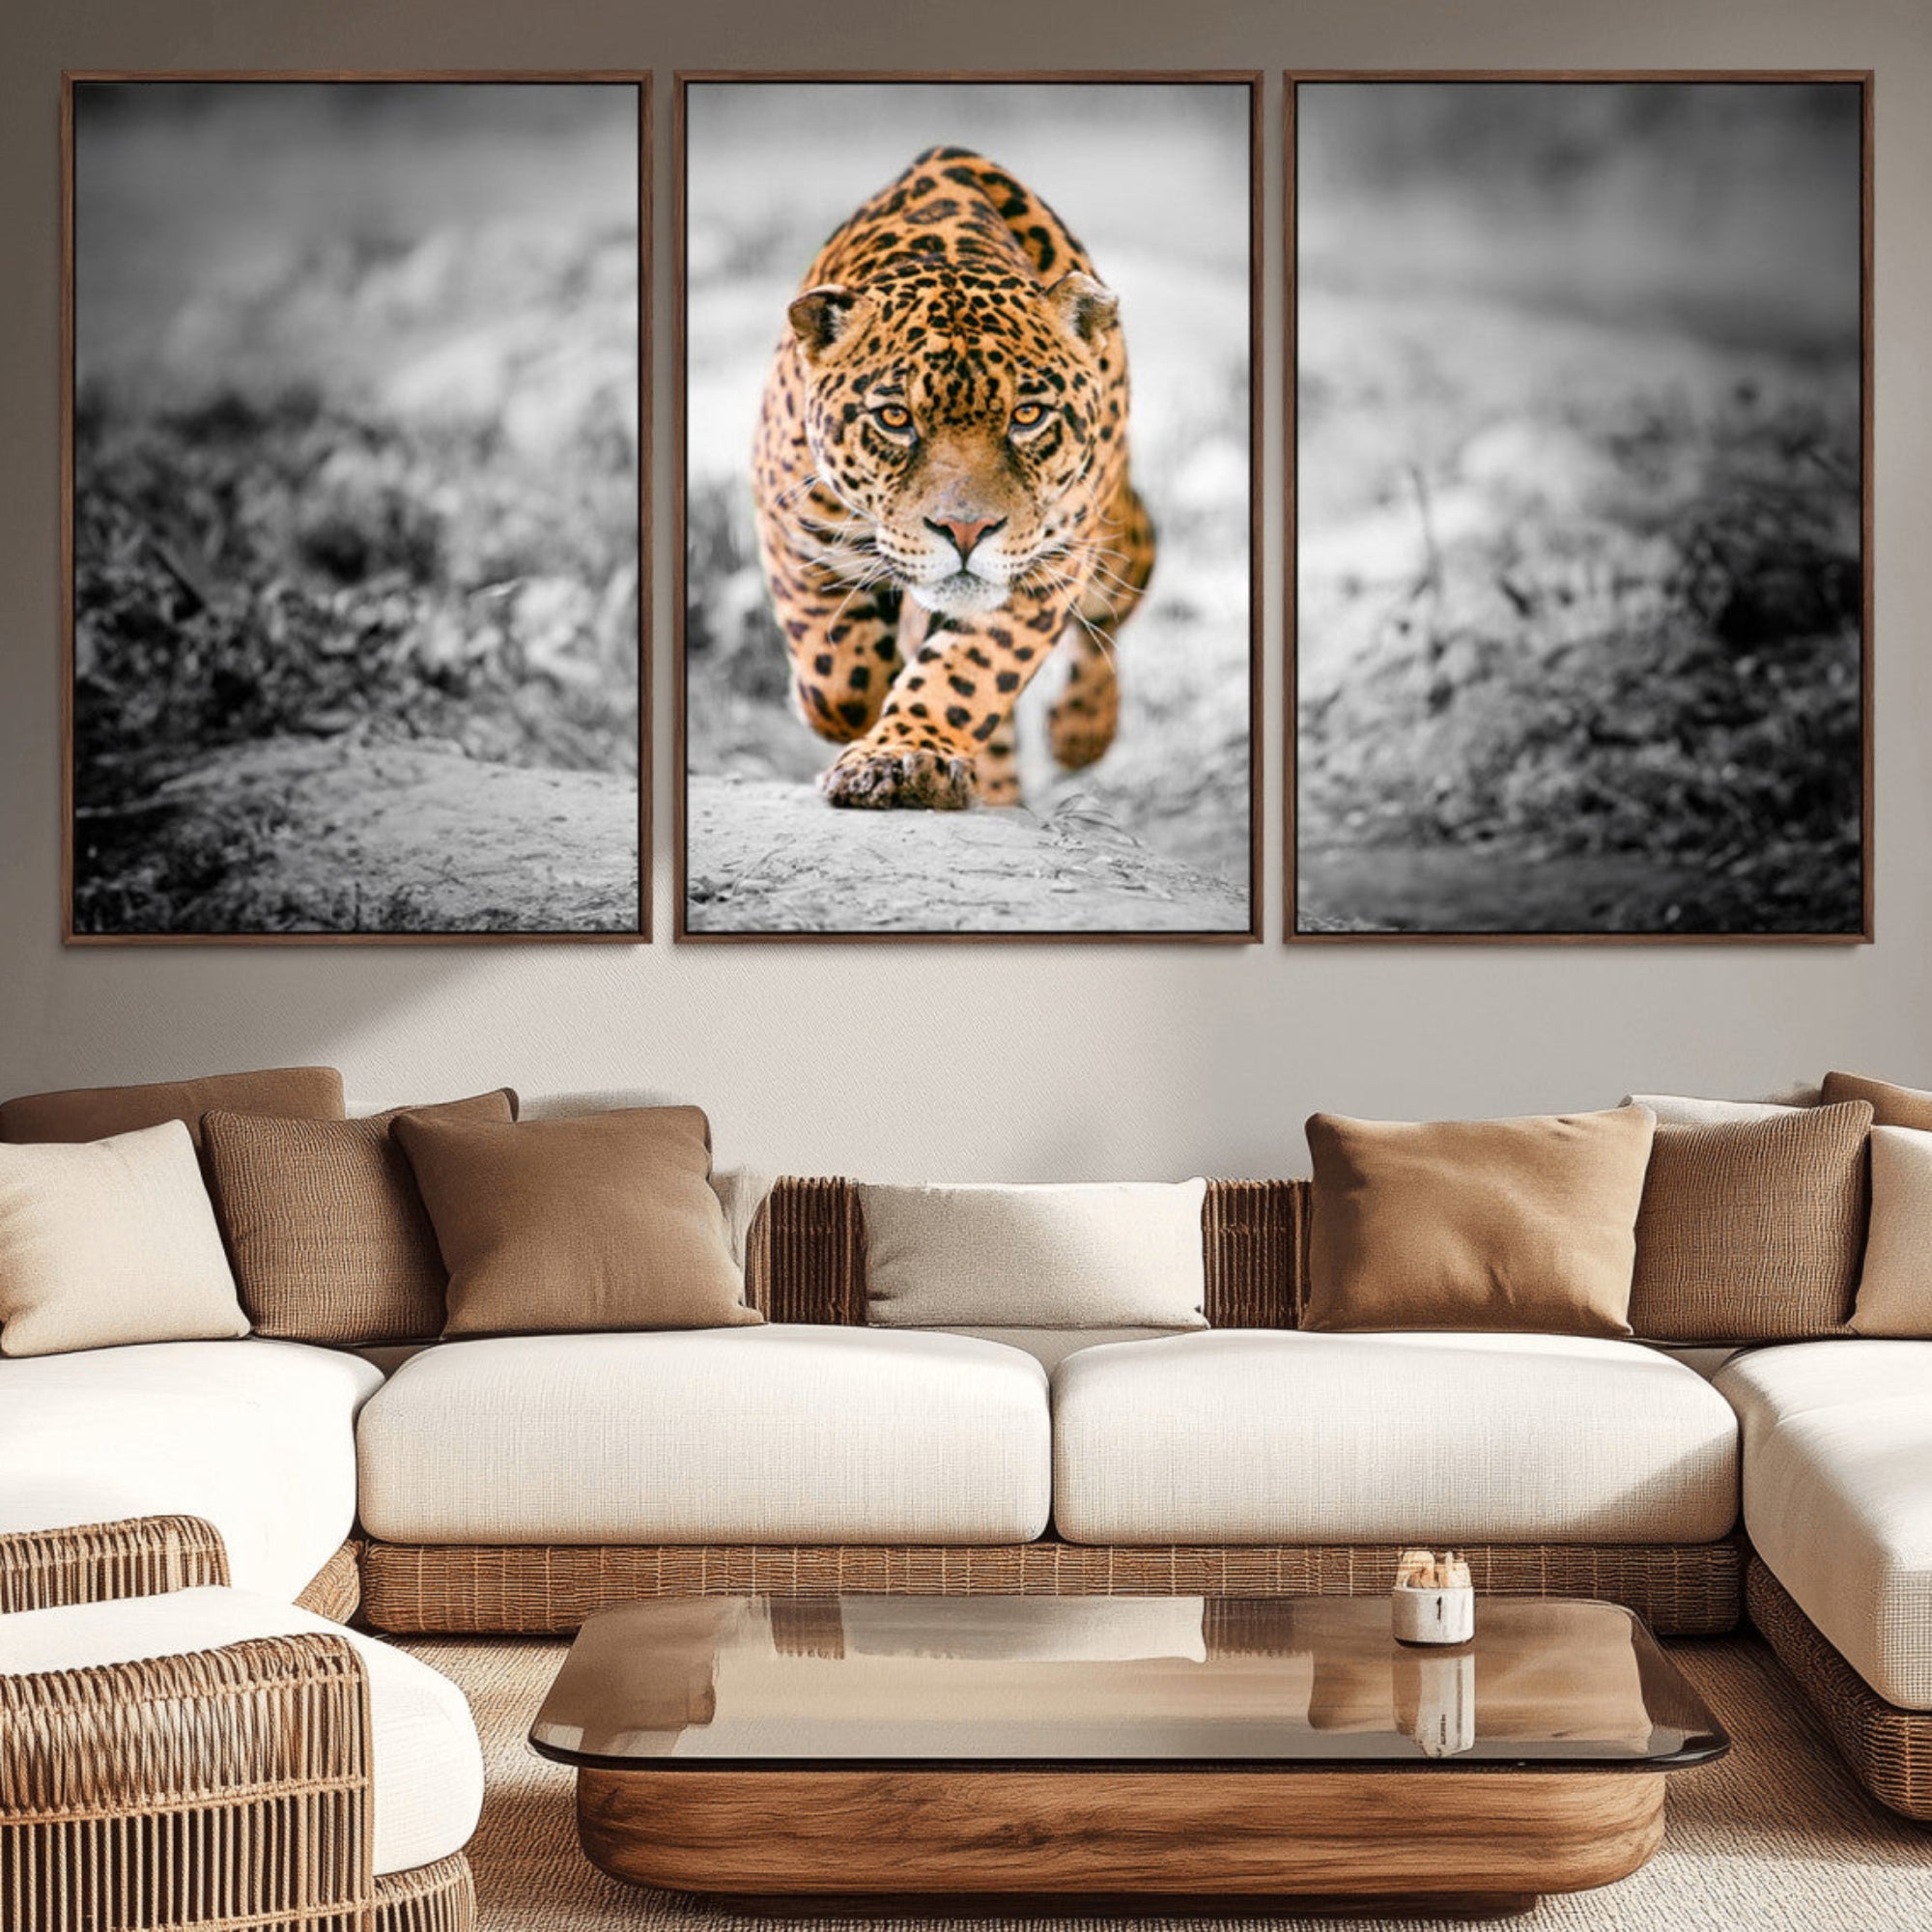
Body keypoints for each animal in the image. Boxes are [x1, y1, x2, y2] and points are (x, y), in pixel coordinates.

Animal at [750, 146, 1156, 810]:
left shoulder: (1050, 563)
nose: (966, 532)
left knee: (1113, 607)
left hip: (1112, 542)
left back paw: (1081, 731)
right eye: (895, 418)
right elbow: (838, 676)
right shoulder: (795, 525)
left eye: (1027, 416)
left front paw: (902, 755)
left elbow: (969, 672)